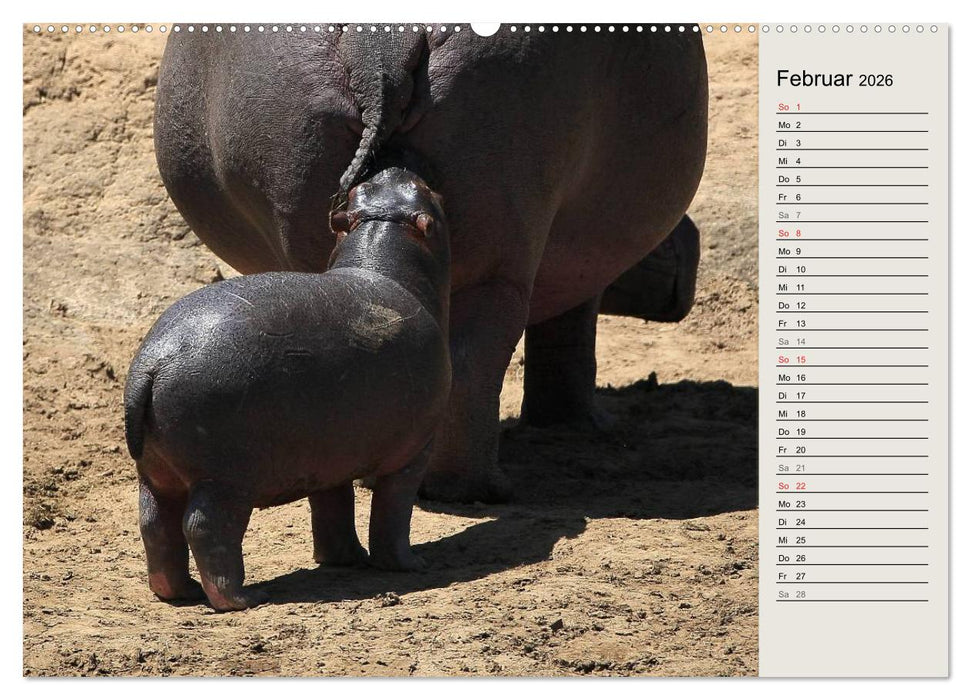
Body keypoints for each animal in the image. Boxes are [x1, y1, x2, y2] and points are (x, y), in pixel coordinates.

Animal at [124, 168, 451, 611]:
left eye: (360, 191)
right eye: (430, 193)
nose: (393, 168)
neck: (382, 248)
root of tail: (155, 358)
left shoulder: (330, 456)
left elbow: (333, 507)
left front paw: (345, 560)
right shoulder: (414, 451)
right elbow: (392, 512)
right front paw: (412, 565)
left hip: (157, 472)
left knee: (156, 523)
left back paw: (180, 592)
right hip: (226, 479)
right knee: (206, 528)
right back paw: (245, 598)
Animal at [154, 24, 708, 503]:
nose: (691, 244)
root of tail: (379, 46)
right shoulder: (581, 271)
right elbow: (568, 345)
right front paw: (587, 425)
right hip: (501, 252)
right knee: (473, 360)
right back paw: (482, 490)